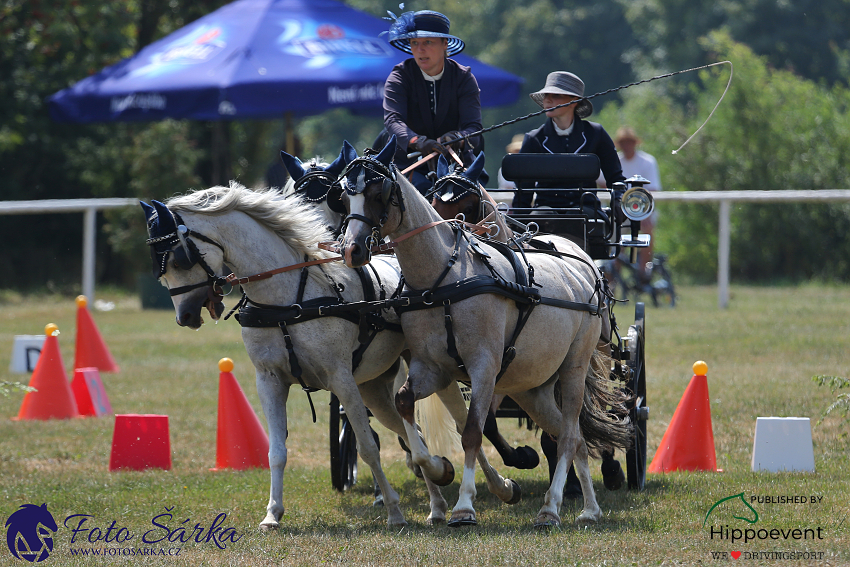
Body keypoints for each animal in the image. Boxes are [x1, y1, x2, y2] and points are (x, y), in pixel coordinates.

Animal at [142, 186, 454, 528]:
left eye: (178, 260)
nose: (183, 316)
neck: (287, 299)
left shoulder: (341, 380)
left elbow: (369, 447)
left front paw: (395, 512)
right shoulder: (269, 381)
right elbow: (276, 452)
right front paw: (272, 513)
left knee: (413, 434)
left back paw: (437, 494)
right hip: (373, 388)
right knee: (411, 435)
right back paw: (437, 501)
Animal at [338, 138, 628, 528]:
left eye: (377, 192)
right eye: (343, 195)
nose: (351, 250)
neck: (443, 279)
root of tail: (585, 267)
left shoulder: (484, 367)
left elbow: (474, 432)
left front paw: (464, 507)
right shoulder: (432, 368)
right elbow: (405, 407)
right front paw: (438, 469)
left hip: (574, 369)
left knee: (568, 436)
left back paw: (551, 508)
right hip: (533, 388)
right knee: (577, 437)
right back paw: (590, 509)